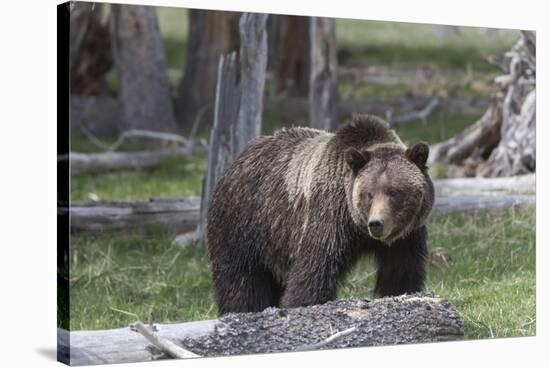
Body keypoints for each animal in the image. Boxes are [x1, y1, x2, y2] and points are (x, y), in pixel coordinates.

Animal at [207, 113, 436, 314]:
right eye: (369, 194)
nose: (376, 224)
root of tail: (236, 161)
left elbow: (401, 274)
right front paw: (302, 303)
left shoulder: (406, 238)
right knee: (241, 279)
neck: (358, 228)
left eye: (394, 191)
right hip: (243, 223)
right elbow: (313, 270)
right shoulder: (329, 217)